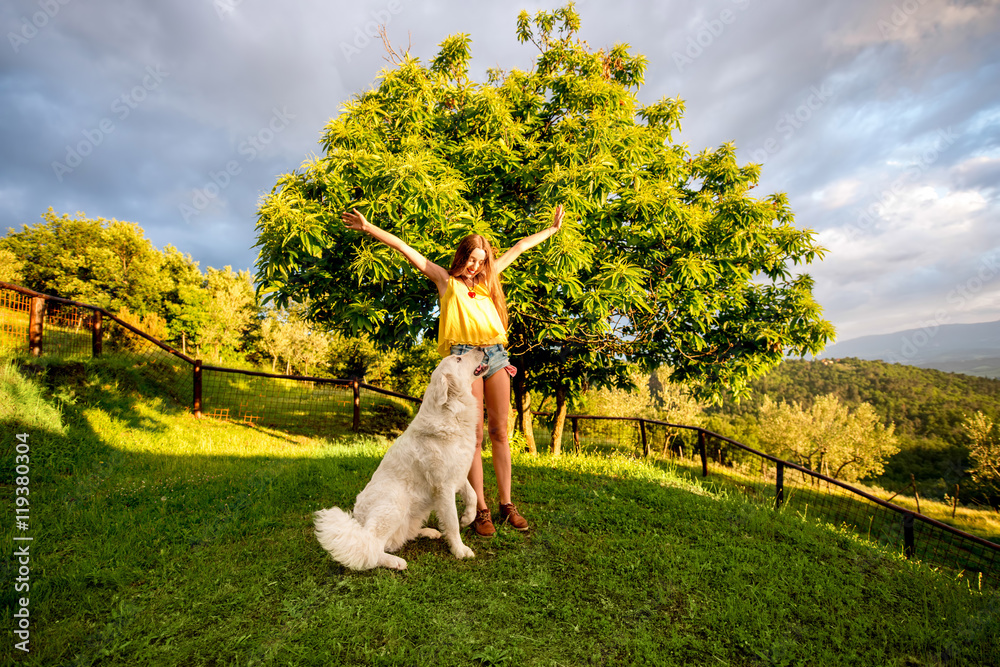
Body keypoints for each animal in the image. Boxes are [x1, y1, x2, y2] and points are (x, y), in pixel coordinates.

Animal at [312, 348, 484, 572]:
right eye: (458, 358)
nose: (481, 348)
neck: (451, 412)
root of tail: (358, 524)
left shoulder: (459, 473)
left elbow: (473, 496)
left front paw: (467, 518)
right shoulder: (444, 486)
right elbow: (452, 521)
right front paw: (460, 549)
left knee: (399, 538)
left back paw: (428, 532)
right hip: (395, 503)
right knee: (373, 549)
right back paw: (396, 562)